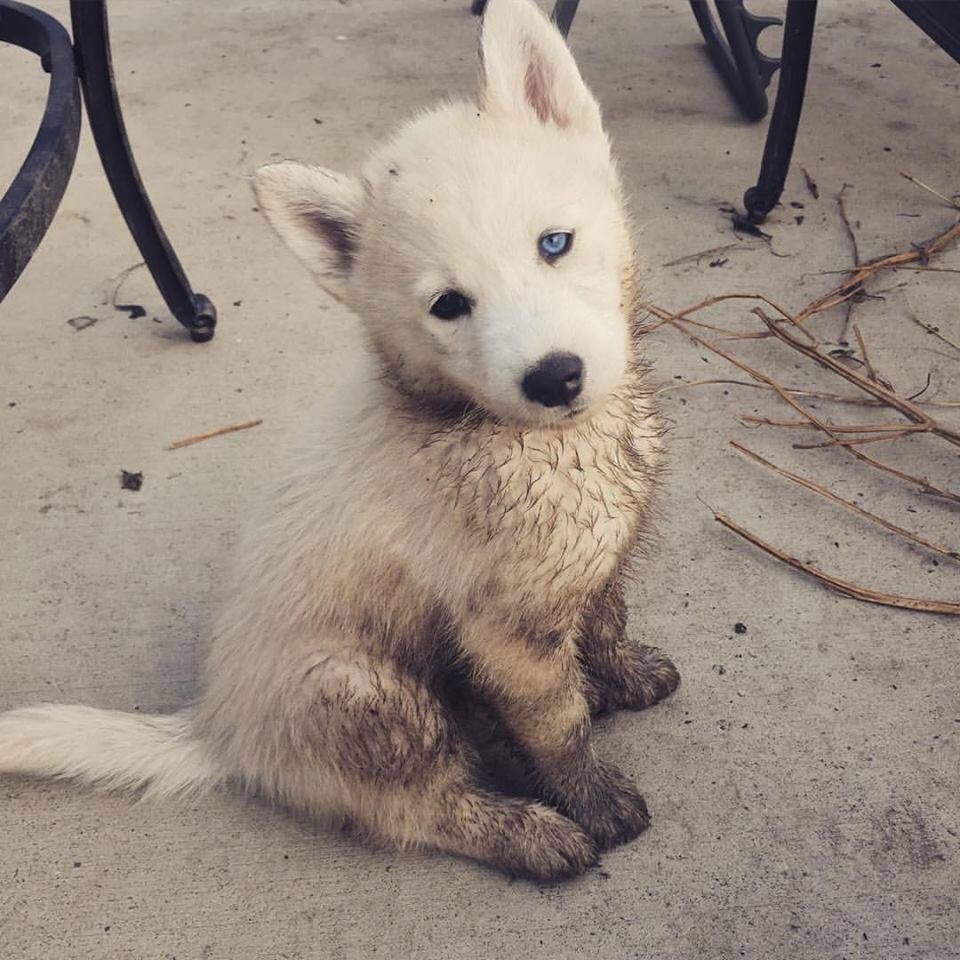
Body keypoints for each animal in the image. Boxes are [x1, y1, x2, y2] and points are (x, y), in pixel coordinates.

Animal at [0, 0, 680, 876]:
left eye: (554, 243)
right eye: (449, 305)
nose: (555, 377)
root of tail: (221, 726)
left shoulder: (586, 570)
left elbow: (606, 624)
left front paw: (623, 678)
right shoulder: (506, 636)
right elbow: (559, 729)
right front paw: (594, 801)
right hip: (365, 695)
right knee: (418, 808)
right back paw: (527, 834)